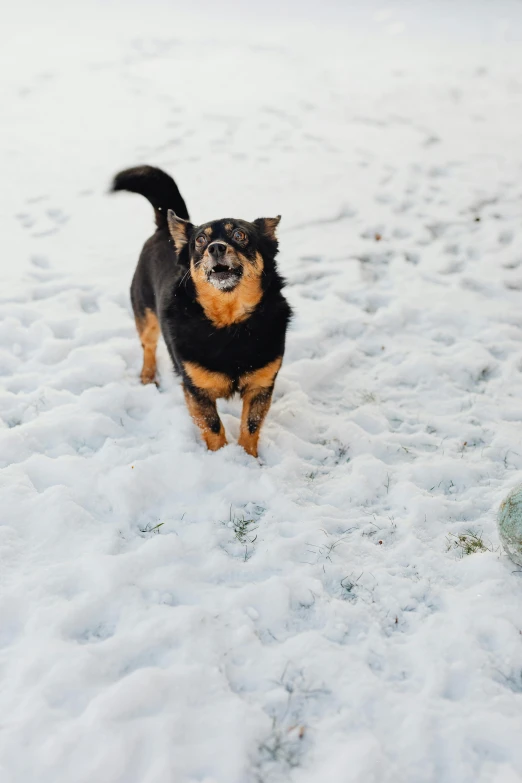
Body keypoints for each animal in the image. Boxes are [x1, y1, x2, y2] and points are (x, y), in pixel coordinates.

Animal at [110, 166, 290, 460]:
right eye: (201, 240)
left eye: (240, 235)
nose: (215, 247)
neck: (229, 324)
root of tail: (164, 227)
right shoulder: (196, 390)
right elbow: (213, 426)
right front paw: (222, 458)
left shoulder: (261, 386)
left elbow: (250, 425)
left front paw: (249, 458)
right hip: (146, 316)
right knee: (148, 346)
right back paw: (148, 376)